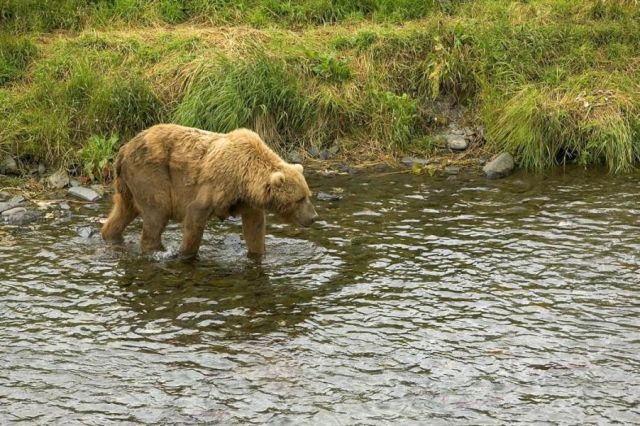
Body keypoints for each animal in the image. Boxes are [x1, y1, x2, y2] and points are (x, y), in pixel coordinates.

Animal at [100, 124, 318, 259]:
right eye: (299, 199)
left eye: (308, 195)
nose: (314, 217)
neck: (244, 179)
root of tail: (123, 150)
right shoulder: (216, 185)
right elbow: (194, 218)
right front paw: (185, 254)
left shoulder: (246, 201)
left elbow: (254, 228)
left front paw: (259, 253)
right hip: (151, 175)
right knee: (157, 213)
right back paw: (156, 249)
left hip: (128, 185)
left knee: (122, 212)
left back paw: (110, 235)